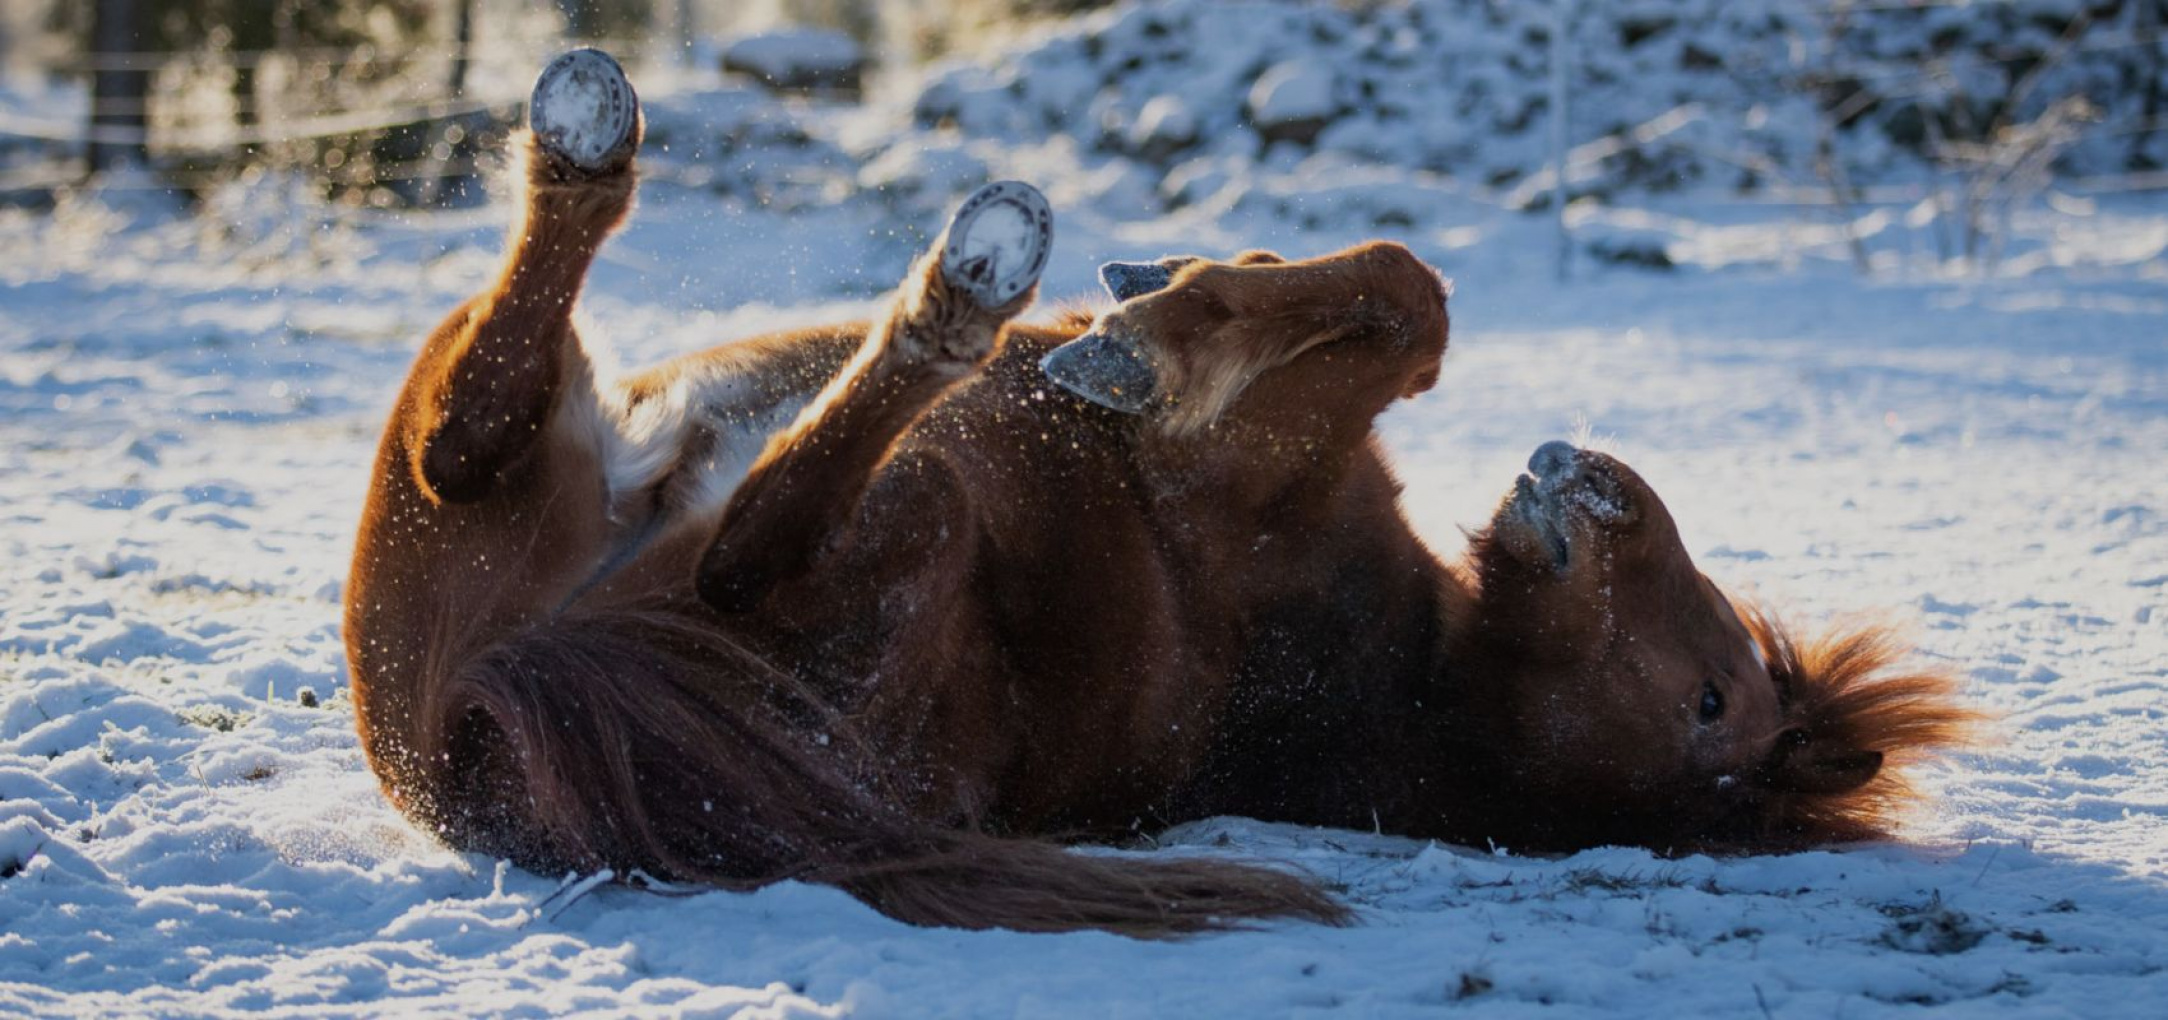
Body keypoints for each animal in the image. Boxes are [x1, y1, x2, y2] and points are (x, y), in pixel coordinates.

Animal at [333, 51, 1968, 937]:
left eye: (1711, 701)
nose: (1603, 483)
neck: (1410, 671)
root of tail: (461, 731)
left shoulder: (1232, 474)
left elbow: (1407, 306)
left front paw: (1137, 345)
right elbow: (1395, 293)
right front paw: (1177, 284)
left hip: (900, 545)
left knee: (753, 538)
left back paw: (966, 290)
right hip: (475, 464)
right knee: (476, 421)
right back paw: (592, 137)